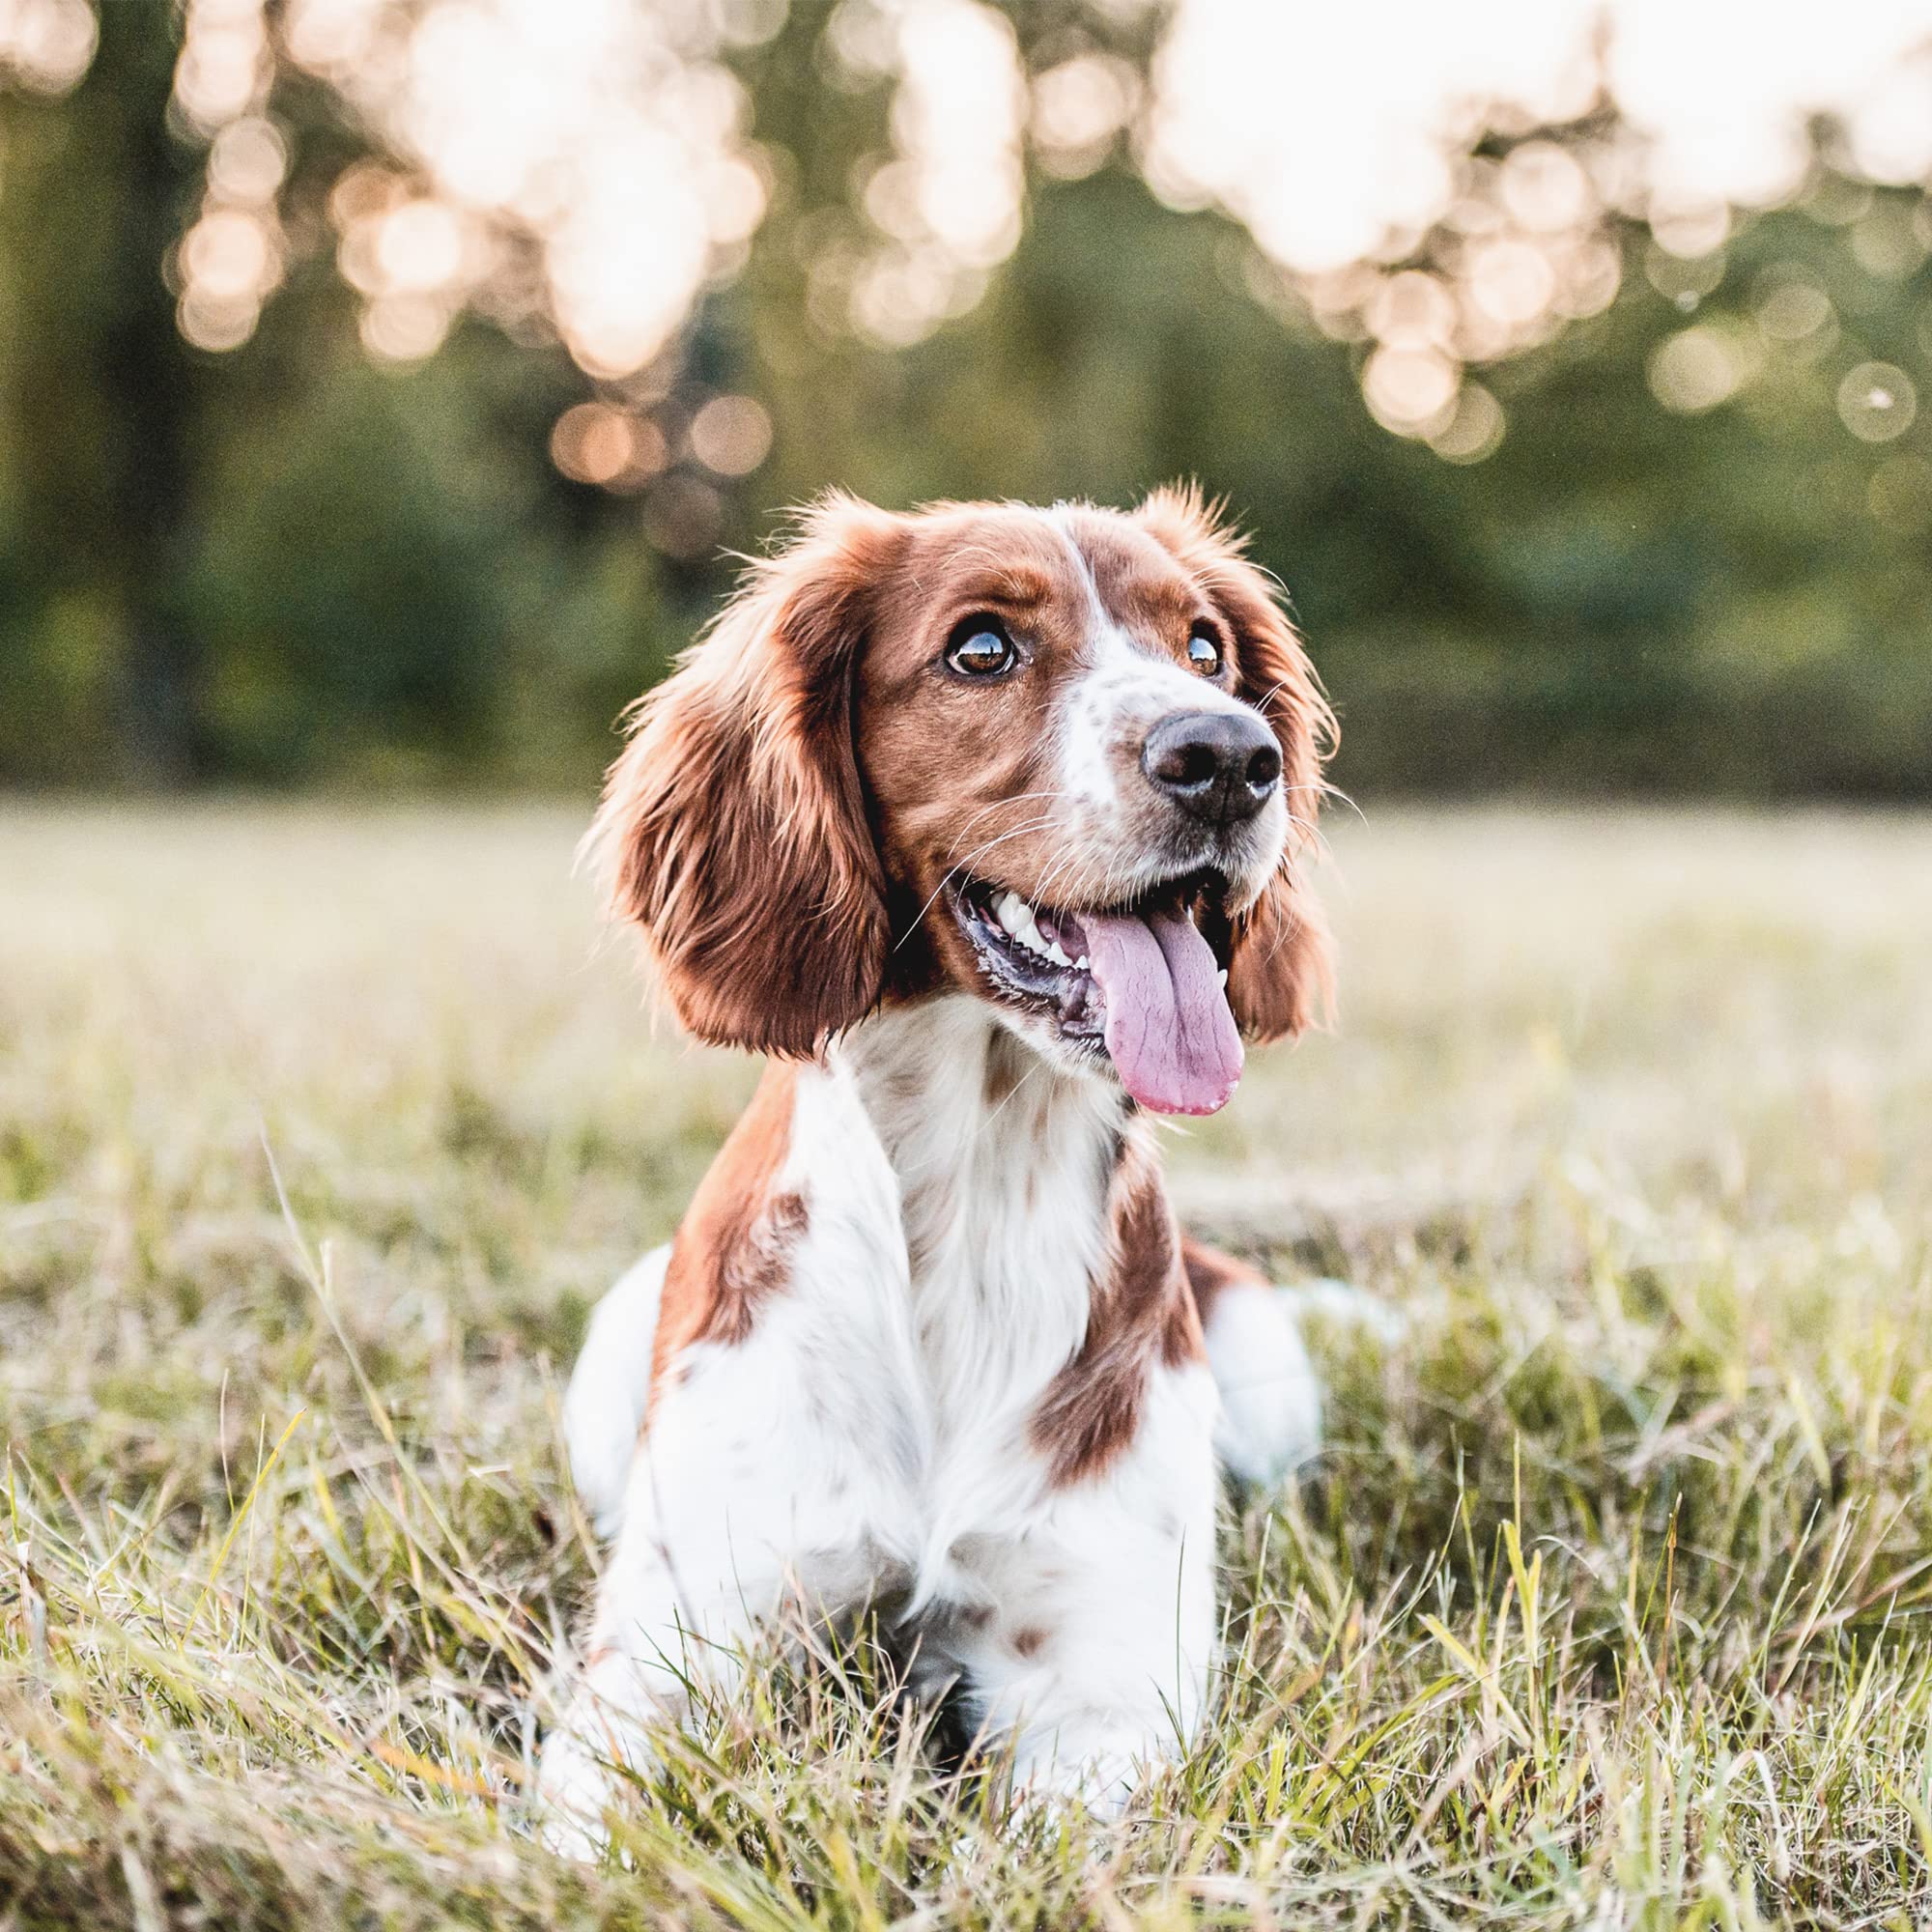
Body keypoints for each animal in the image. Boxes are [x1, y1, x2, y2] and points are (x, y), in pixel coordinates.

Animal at [537, 487, 1337, 1855]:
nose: (1229, 757)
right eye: (980, 648)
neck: (974, 1189)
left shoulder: (1101, 1679)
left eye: (1203, 649)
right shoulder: (663, 1654)